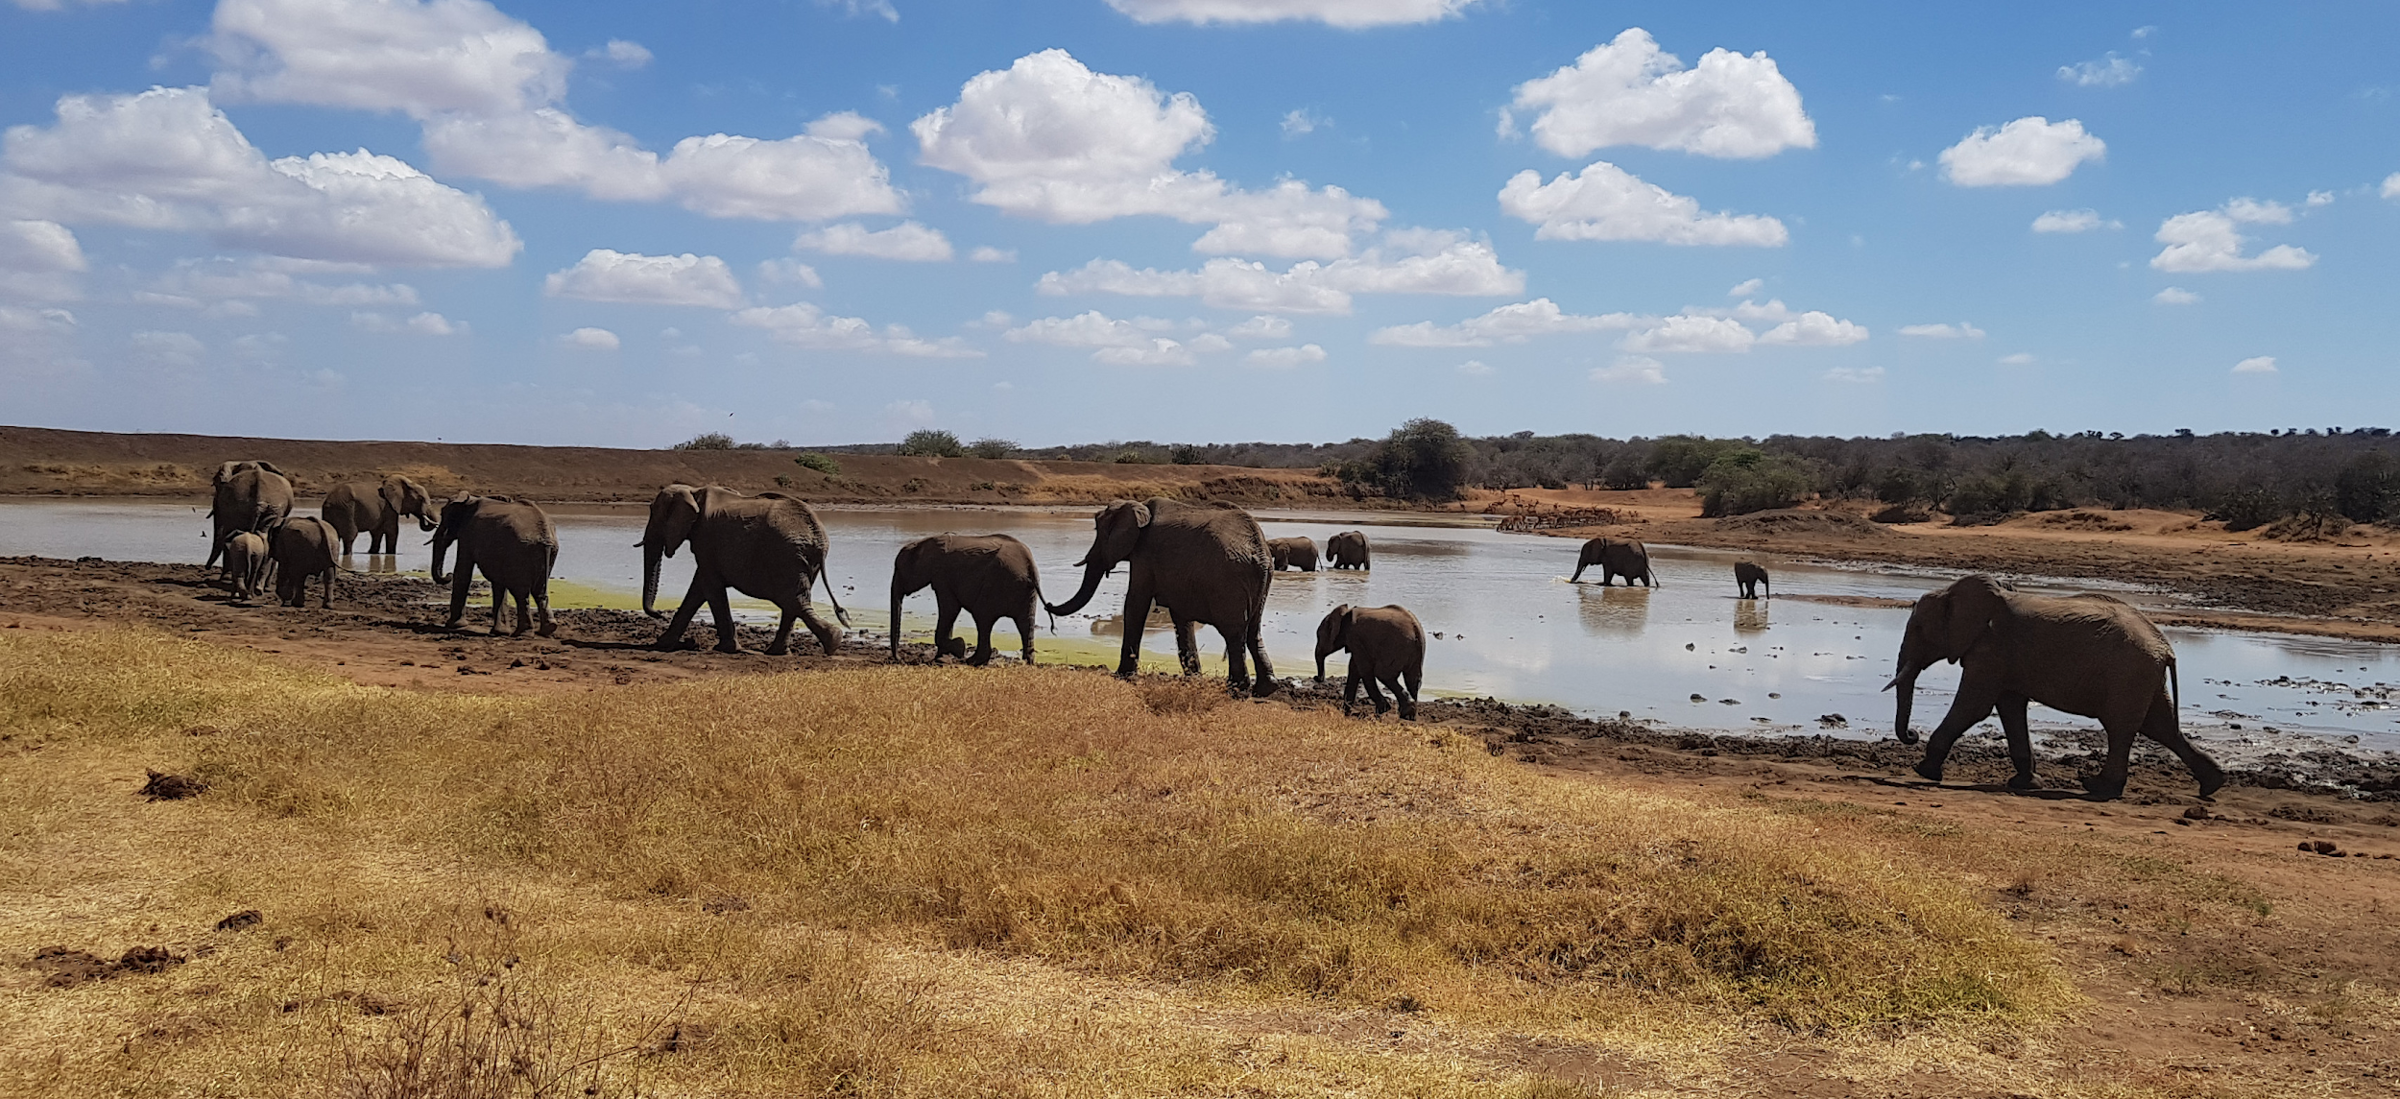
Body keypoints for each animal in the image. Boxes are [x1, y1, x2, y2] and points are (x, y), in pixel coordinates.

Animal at [431, 494, 558, 637]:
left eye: (443, 514)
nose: (448, 575)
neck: (469, 500)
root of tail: (544, 534)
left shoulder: (467, 534)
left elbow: (462, 571)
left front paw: (453, 625)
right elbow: (498, 581)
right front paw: (500, 632)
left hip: (521, 552)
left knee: (521, 592)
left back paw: (522, 633)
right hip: (549, 552)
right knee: (539, 591)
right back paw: (547, 629)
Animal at [641, 484, 847, 656]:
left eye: (654, 513)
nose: (659, 613)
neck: (693, 491)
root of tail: (817, 534)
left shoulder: (705, 539)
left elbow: (709, 586)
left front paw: (725, 649)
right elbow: (699, 587)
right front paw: (663, 644)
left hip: (786, 556)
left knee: (792, 600)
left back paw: (831, 642)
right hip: (802, 559)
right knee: (795, 602)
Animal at [889, 534, 1042, 666]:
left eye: (898, 568)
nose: (900, 659)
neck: (924, 543)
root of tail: (1029, 565)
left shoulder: (942, 576)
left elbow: (950, 609)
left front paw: (958, 647)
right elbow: (949, 612)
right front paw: (941, 658)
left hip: (996, 584)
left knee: (982, 618)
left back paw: (972, 661)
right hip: (1026, 593)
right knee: (1024, 624)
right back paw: (1027, 662)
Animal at [1045, 497, 1280, 696]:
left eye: (1099, 531)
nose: (1048, 603)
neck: (1139, 507)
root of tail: (1260, 549)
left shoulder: (1145, 555)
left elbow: (1135, 603)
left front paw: (1122, 676)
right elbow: (1181, 618)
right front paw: (1194, 679)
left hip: (1228, 582)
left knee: (1234, 633)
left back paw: (1237, 690)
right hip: (1260, 582)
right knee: (1253, 631)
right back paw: (1265, 689)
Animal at [1886, 574, 2224, 801]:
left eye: (1918, 628)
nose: (1912, 734)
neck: (1951, 593)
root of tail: (2165, 647)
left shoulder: (1991, 650)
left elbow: (1974, 706)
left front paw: (1924, 771)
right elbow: (2010, 707)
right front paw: (2025, 783)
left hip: (2129, 673)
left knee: (2122, 728)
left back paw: (2096, 787)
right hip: (2143, 676)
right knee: (2161, 727)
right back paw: (2212, 785)